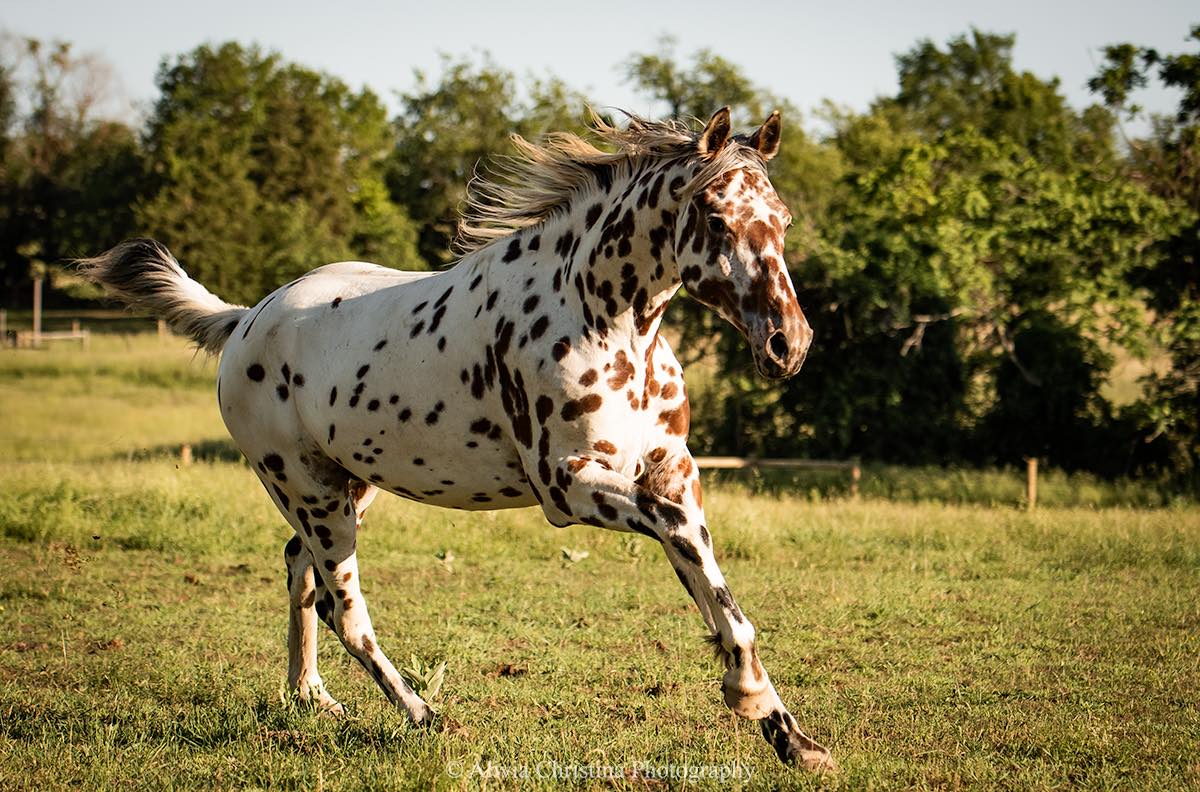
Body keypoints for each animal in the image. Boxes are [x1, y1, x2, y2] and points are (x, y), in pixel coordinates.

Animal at [82, 108, 835, 768]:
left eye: (784, 220)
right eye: (714, 216)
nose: (789, 344)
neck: (600, 317)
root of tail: (242, 320)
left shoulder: (673, 473)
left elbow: (716, 590)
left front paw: (790, 737)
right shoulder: (571, 487)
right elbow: (698, 569)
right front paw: (750, 699)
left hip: (348, 486)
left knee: (301, 573)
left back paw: (311, 698)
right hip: (309, 492)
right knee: (344, 609)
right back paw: (423, 715)